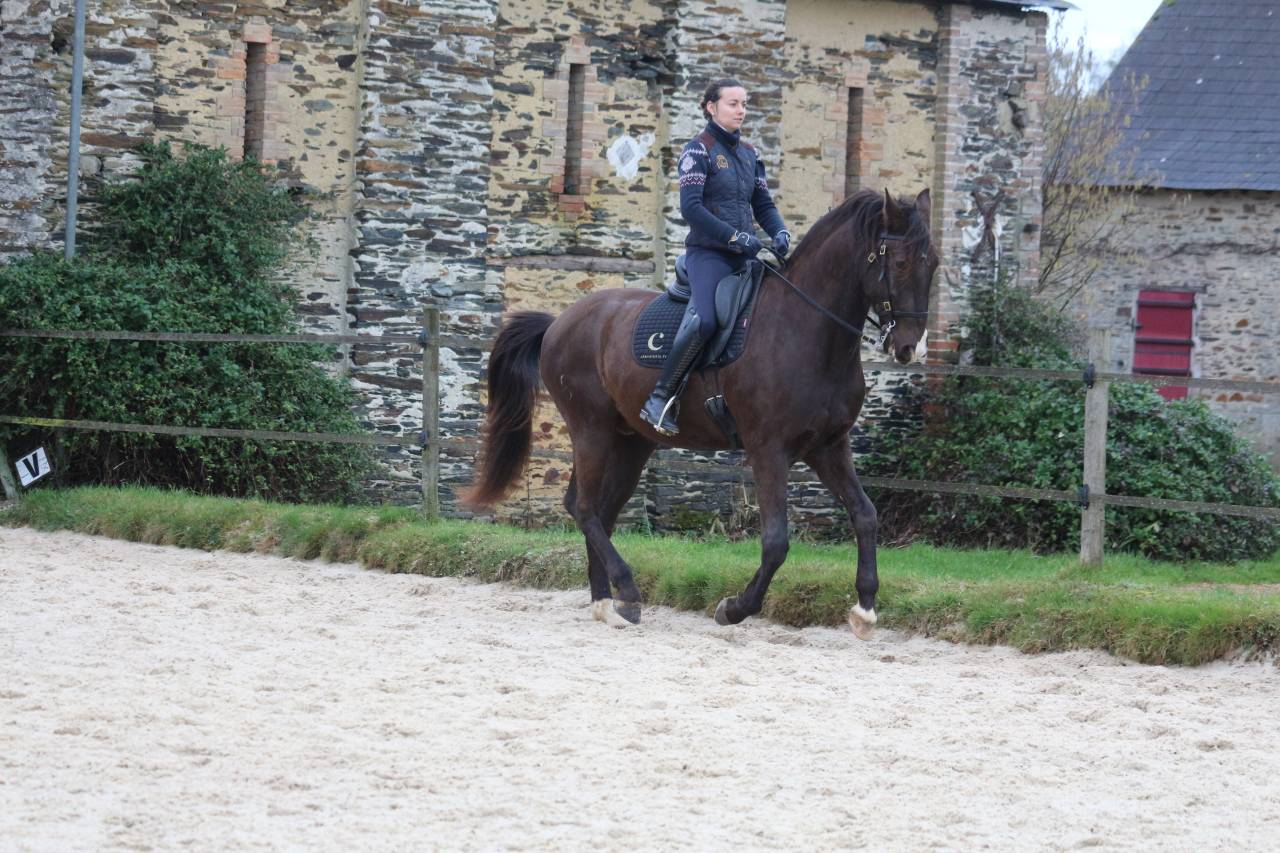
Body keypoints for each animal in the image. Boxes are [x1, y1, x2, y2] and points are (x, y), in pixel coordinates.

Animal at [465, 188, 938, 638]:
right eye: (898, 262)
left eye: (932, 263)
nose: (911, 348)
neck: (805, 331)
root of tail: (560, 322)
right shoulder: (769, 450)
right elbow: (776, 542)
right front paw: (734, 608)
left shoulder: (828, 446)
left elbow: (865, 515)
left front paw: (865, 610)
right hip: (590, 430)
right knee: (584, 509)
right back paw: (627, 590)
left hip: (630, 442)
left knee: (597, 511)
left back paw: (607, 604)